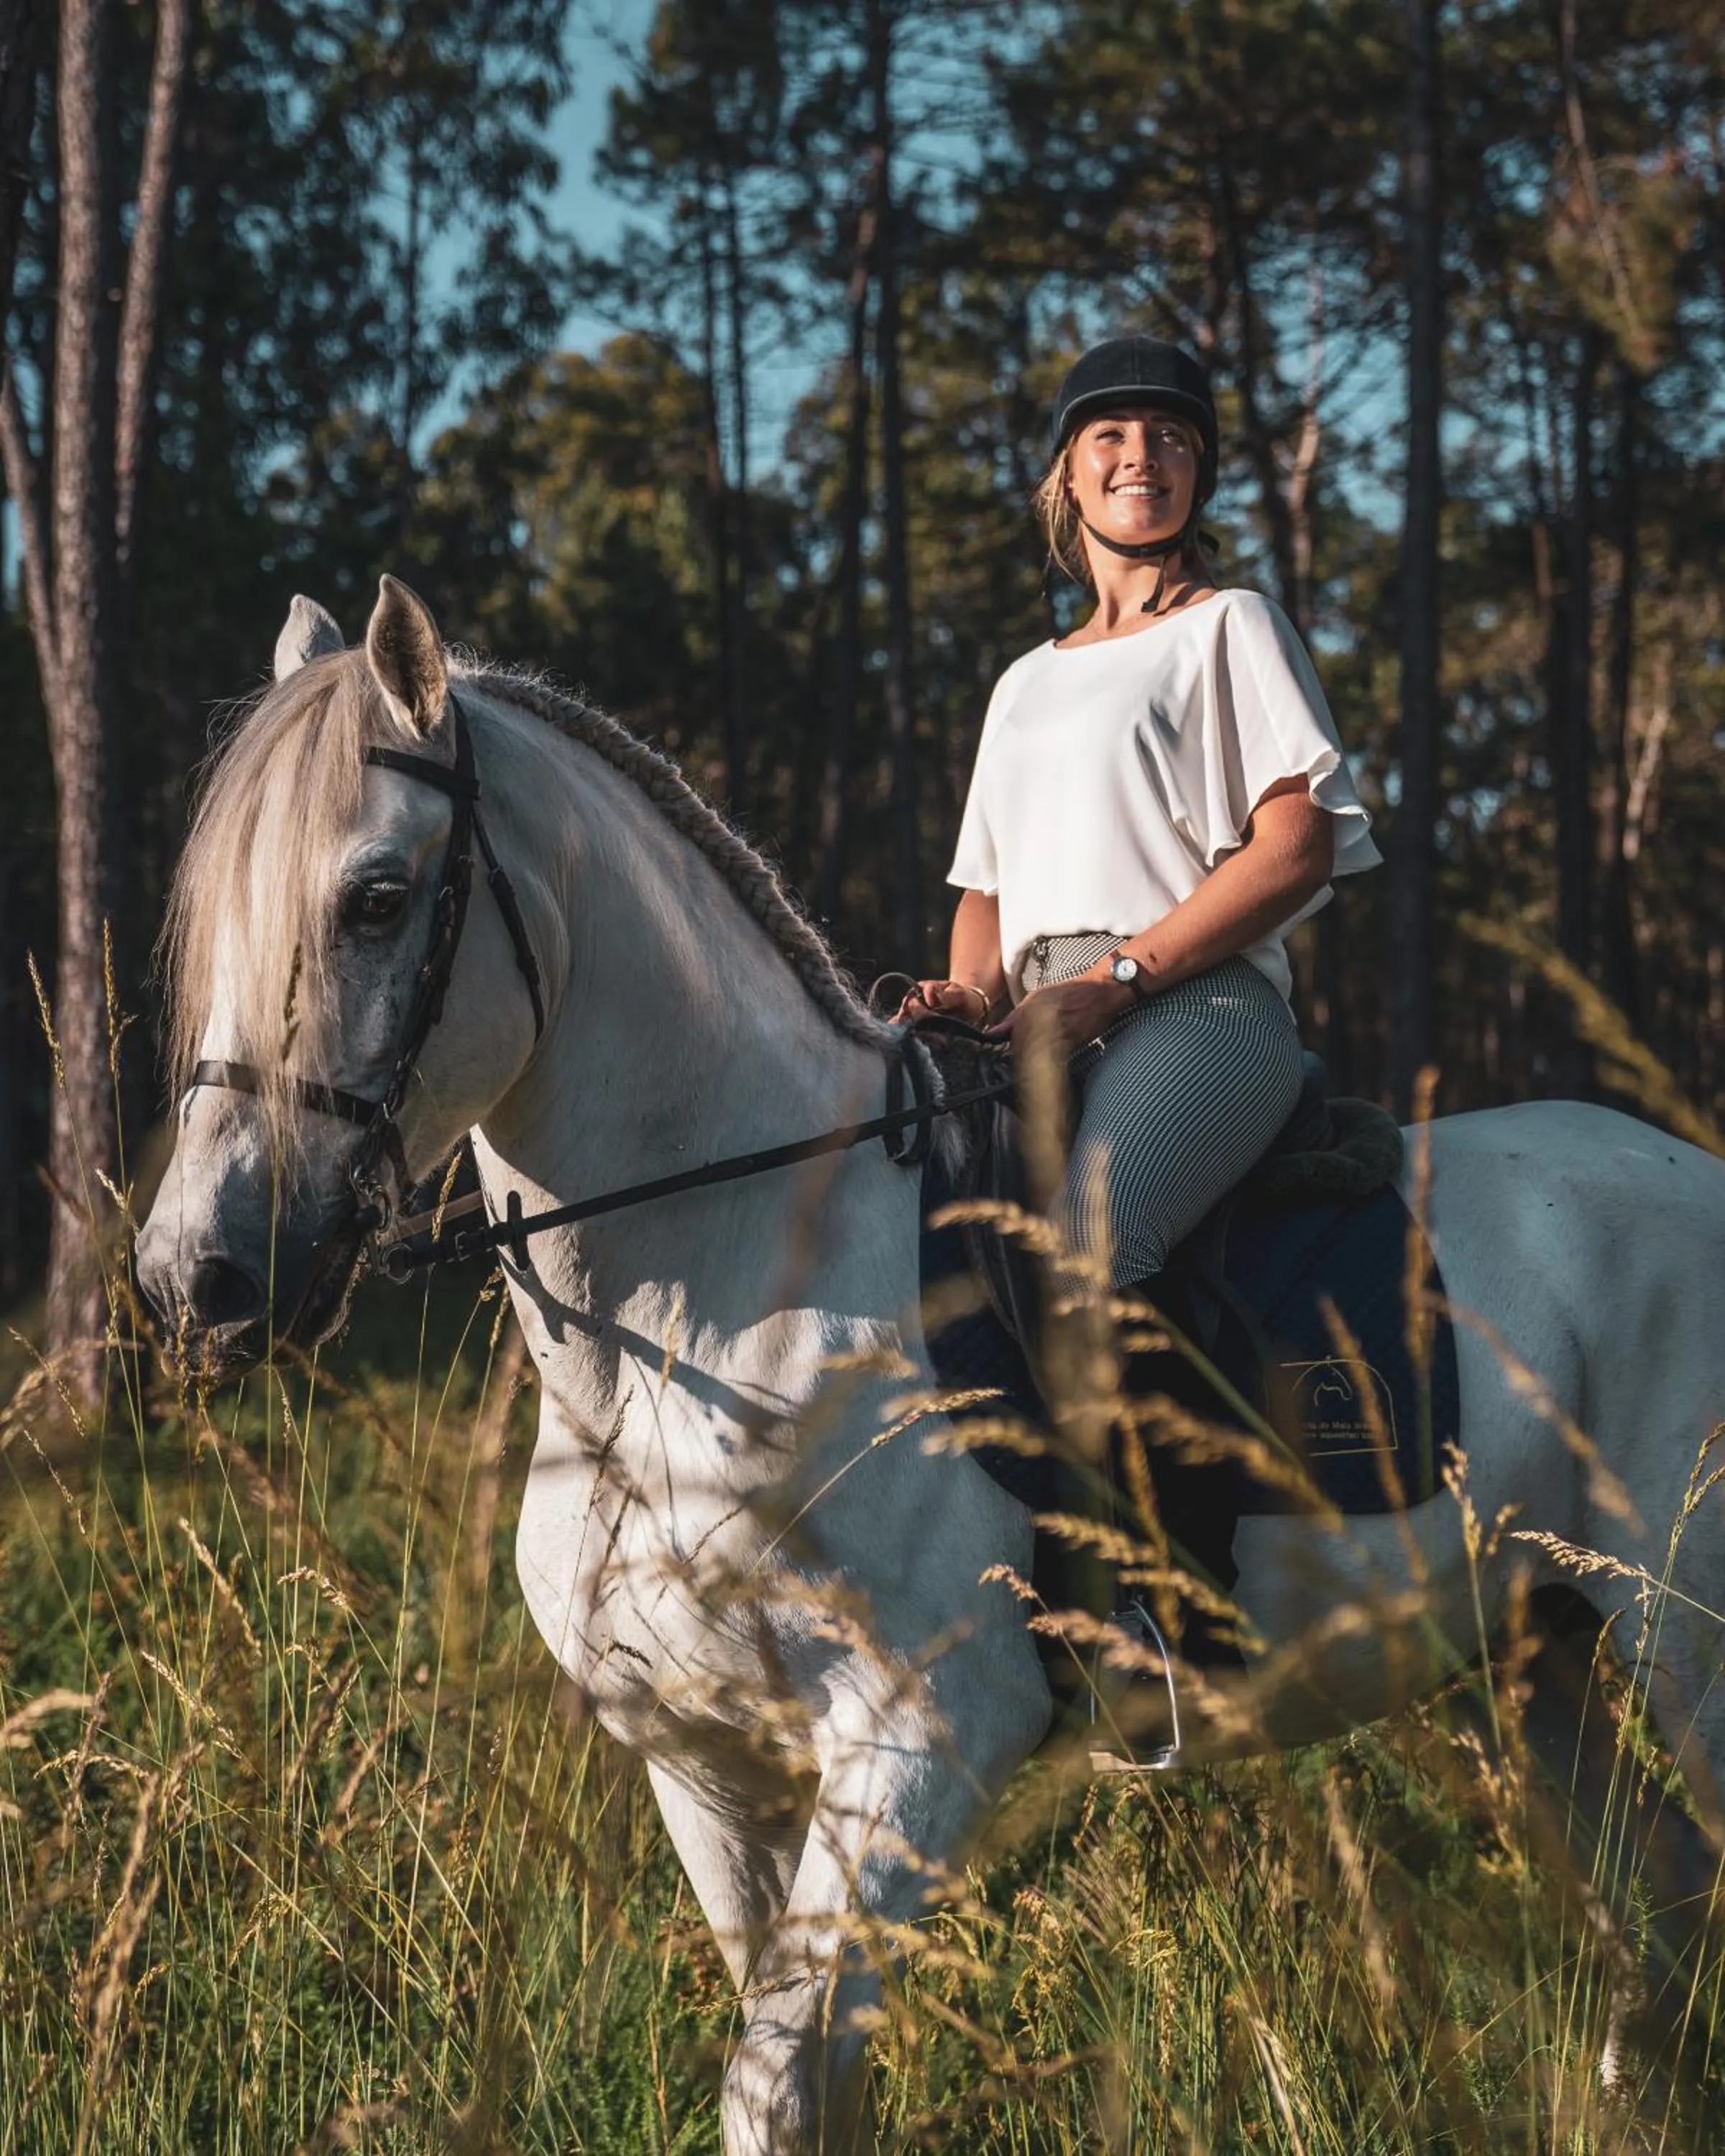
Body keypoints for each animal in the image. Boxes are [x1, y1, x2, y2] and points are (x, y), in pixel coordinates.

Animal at [136, 577, 1725, 2154]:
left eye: (377, 897)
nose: (195, 1278)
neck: (708, 1320)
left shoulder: (921, 1738)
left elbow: (774, 2090)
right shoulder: (703, 1763)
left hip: (1679, 1642)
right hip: (1533, 1655)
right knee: (1660, 1915)